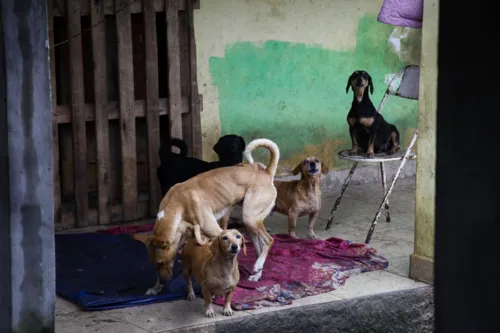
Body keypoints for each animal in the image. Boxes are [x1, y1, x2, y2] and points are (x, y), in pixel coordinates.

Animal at [133, 137, 280, 294]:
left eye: (162, 262)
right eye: (154, 264)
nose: (163, 282)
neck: (177, 204)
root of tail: (266, 173)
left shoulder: (218, 233)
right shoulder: (180, 240)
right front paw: (155, 288)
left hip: (250, 218)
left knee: (268, 240)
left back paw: (258, 265)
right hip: (250, 224)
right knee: (259, 247)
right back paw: (257, 273)